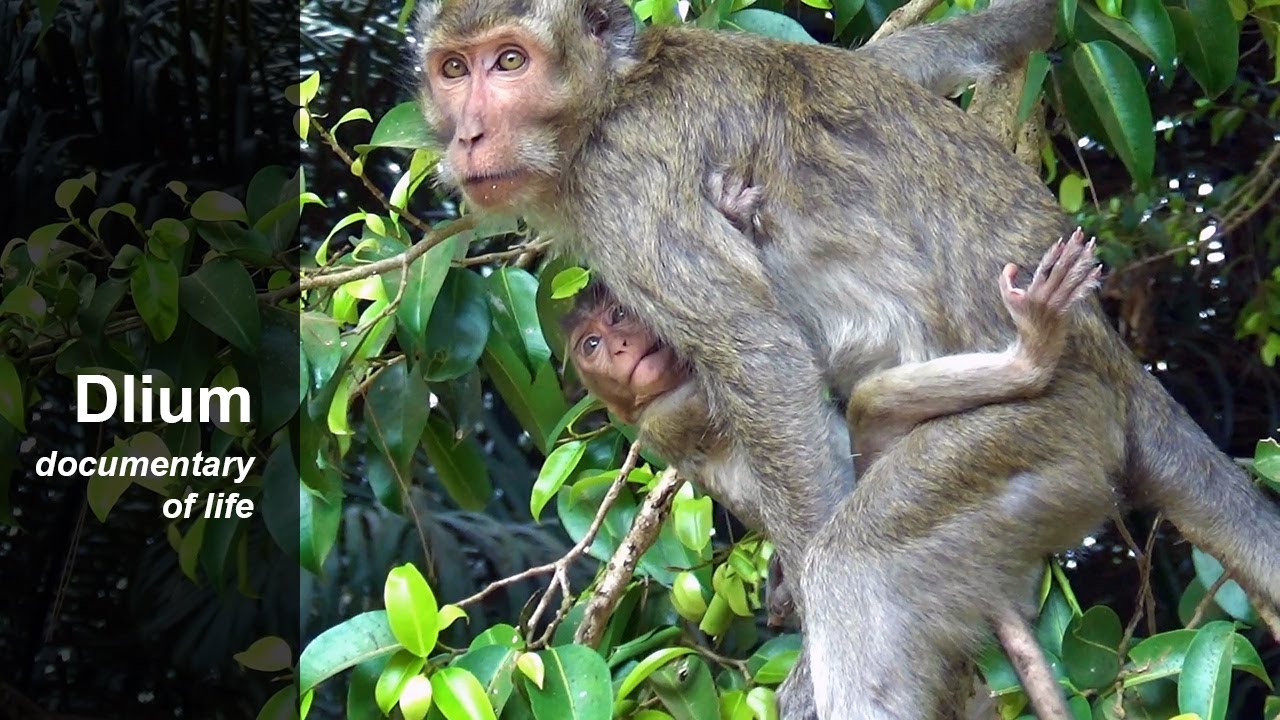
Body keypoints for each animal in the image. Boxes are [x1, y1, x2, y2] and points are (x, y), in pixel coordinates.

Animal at [412, 0, 1280, 715]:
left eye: (510, 61)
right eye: (453, 70)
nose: (468, 134)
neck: (609, 100)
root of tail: (1114, 367)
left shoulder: (623, 193)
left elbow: (760, 357)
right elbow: (896, 61)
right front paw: (1027, 21)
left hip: (1044, 438)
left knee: (860, 562)